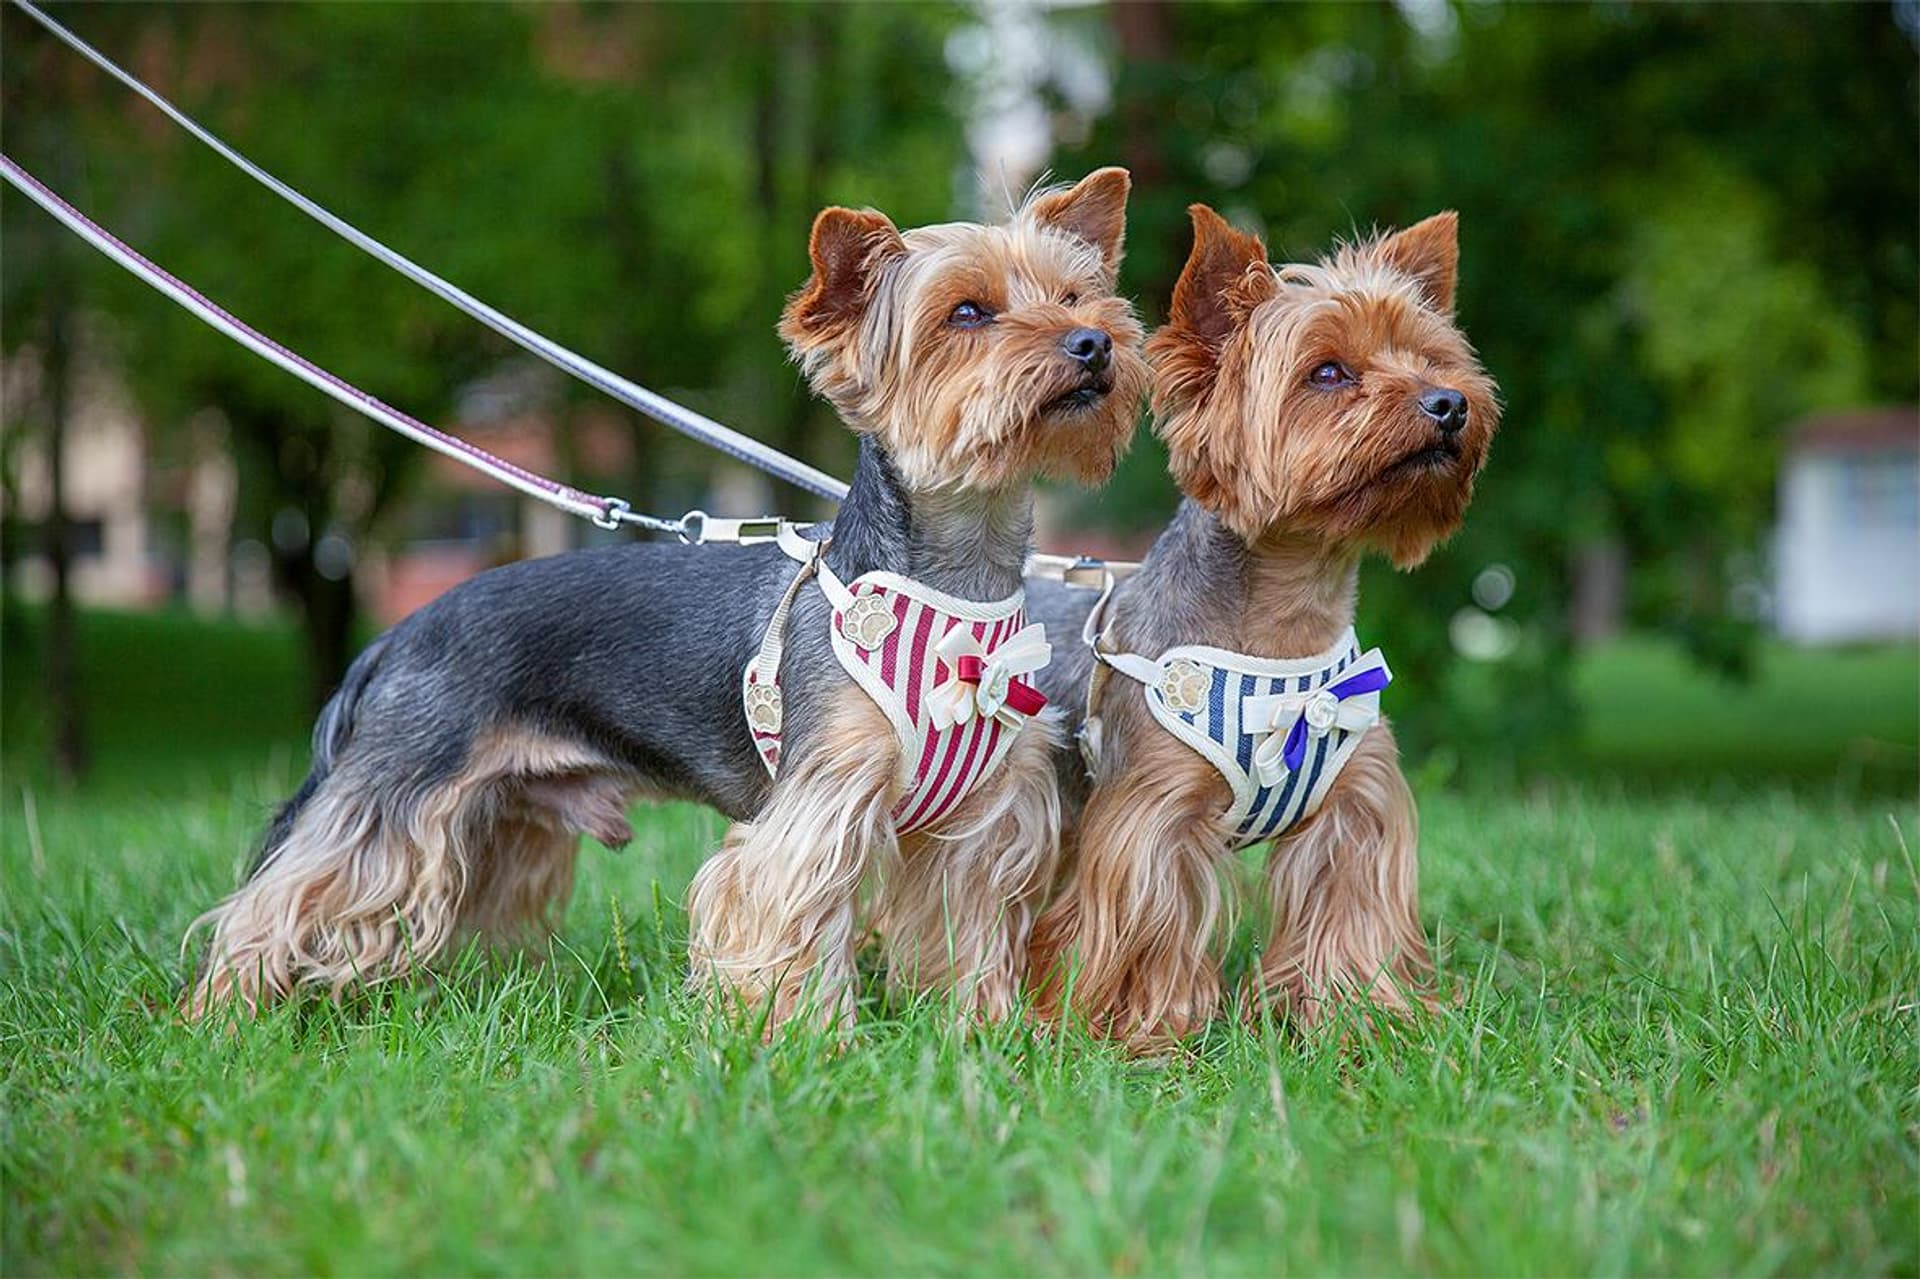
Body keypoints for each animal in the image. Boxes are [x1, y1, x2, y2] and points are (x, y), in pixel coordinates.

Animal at [187, 167, 1144, 1029]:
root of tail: (398, 633)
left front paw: (982, 1036)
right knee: (283, 899)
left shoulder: (986, 820)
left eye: (1077, 296)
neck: (952, 582)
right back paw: (219, 1016)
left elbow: (969, 937)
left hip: (496, 819)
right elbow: (790, 923)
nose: (1093, 343)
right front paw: (811, 1045)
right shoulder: (817, 804)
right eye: (968, 313)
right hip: (401, 788)